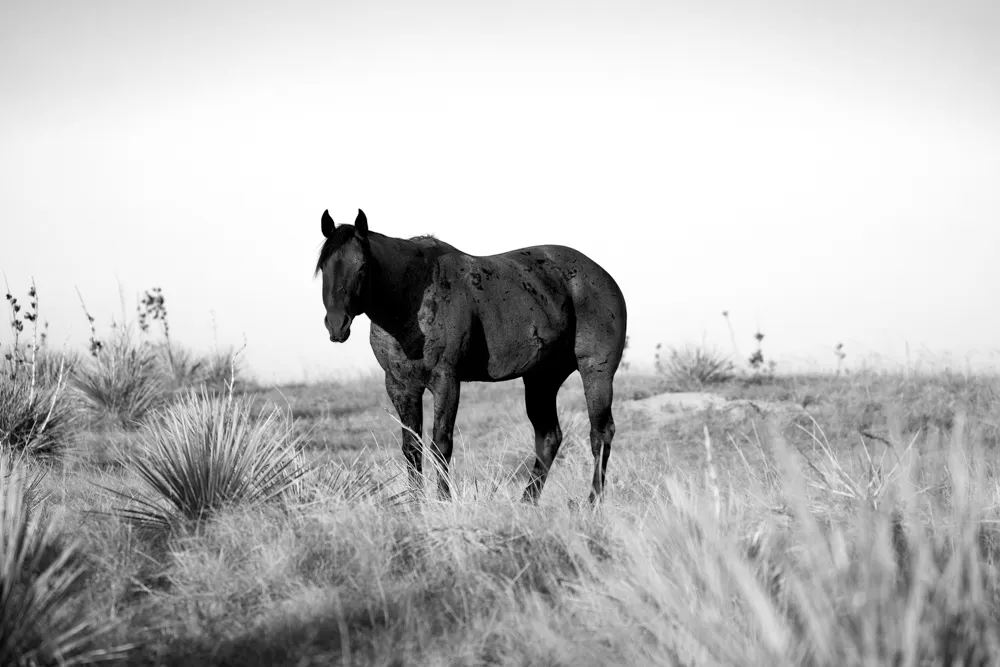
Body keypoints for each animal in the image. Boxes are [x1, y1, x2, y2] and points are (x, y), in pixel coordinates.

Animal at [315, 209, 627, 503]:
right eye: (323, 267)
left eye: (362, 266)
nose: (337, 324)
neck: (411, 296)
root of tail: (602, 275)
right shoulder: (400, 386)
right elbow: (411, 447)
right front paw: (415, 505)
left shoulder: (446, 380)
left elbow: (441, 444)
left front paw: (443, 501)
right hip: (542, 379)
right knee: (549, 436)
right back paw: (526, 503)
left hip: (595, 372)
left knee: (600, 433)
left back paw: (592, 503)